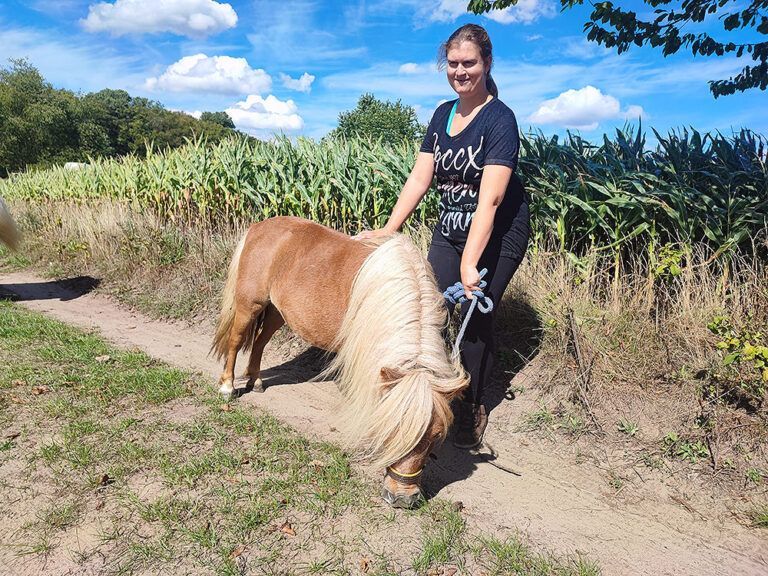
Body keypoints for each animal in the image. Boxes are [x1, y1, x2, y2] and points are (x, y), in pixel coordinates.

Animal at [211, 216, 468, 508]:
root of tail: (260, 226)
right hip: (249, 304)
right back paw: (228, 387)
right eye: (392, 431)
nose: (402, 499)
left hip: (277, 311)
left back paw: (255, 381)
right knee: (236, 340)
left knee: (260, 342)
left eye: (436, 437)